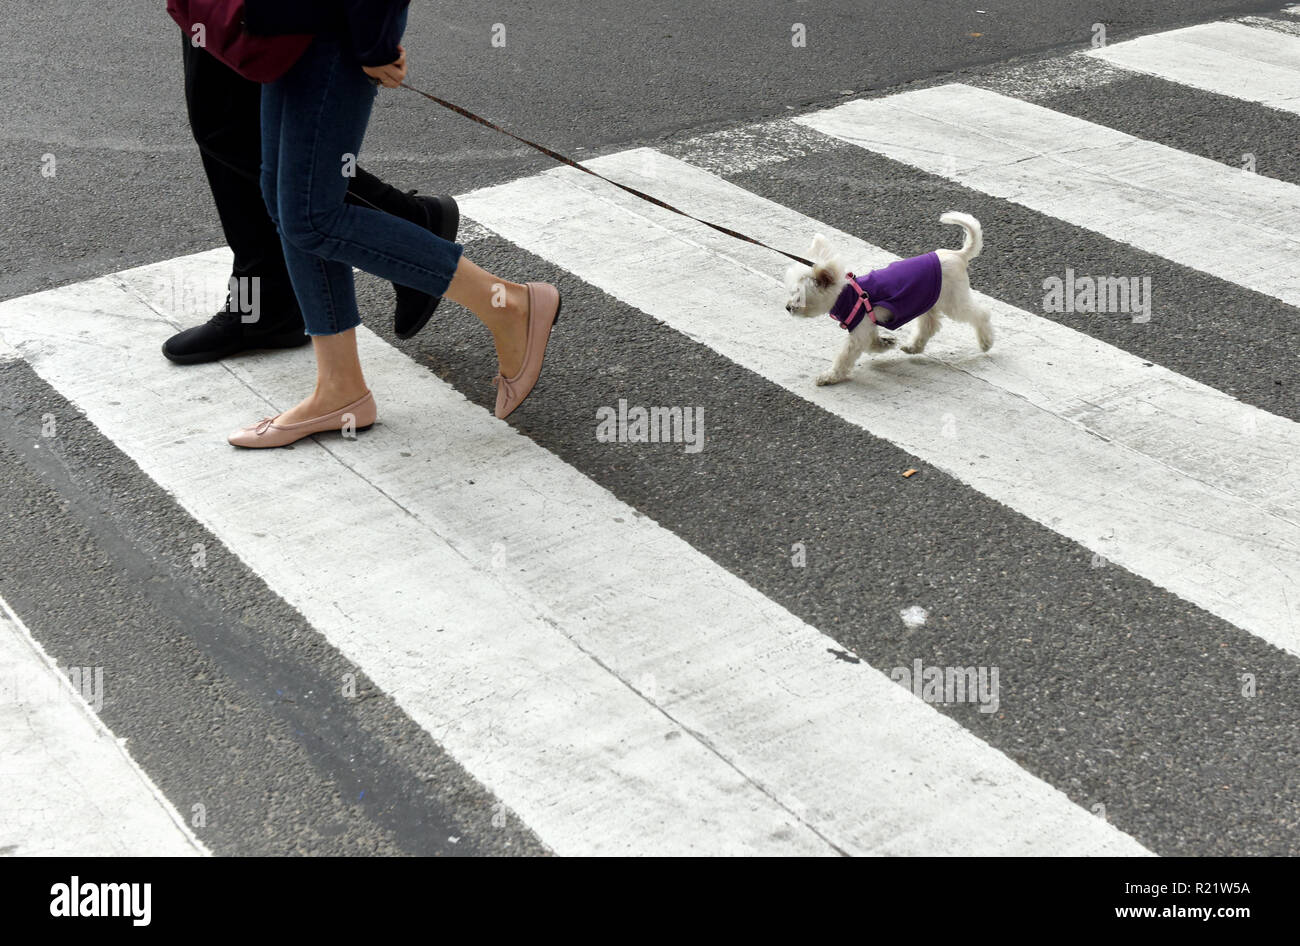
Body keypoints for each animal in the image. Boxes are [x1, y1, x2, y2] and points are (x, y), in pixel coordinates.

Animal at [780, 214, 993, 384]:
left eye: (799, 296)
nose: (787, 308)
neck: (848, 297)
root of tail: (959, 255)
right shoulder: (867, 326)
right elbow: (872, 342)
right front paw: (886, 343)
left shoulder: (859, 329)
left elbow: (845, 356)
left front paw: (830, 376)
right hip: (927, 298)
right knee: (930, 324)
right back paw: (914, 346)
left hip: (953, 300)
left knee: (980, 314)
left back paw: (986, 342)